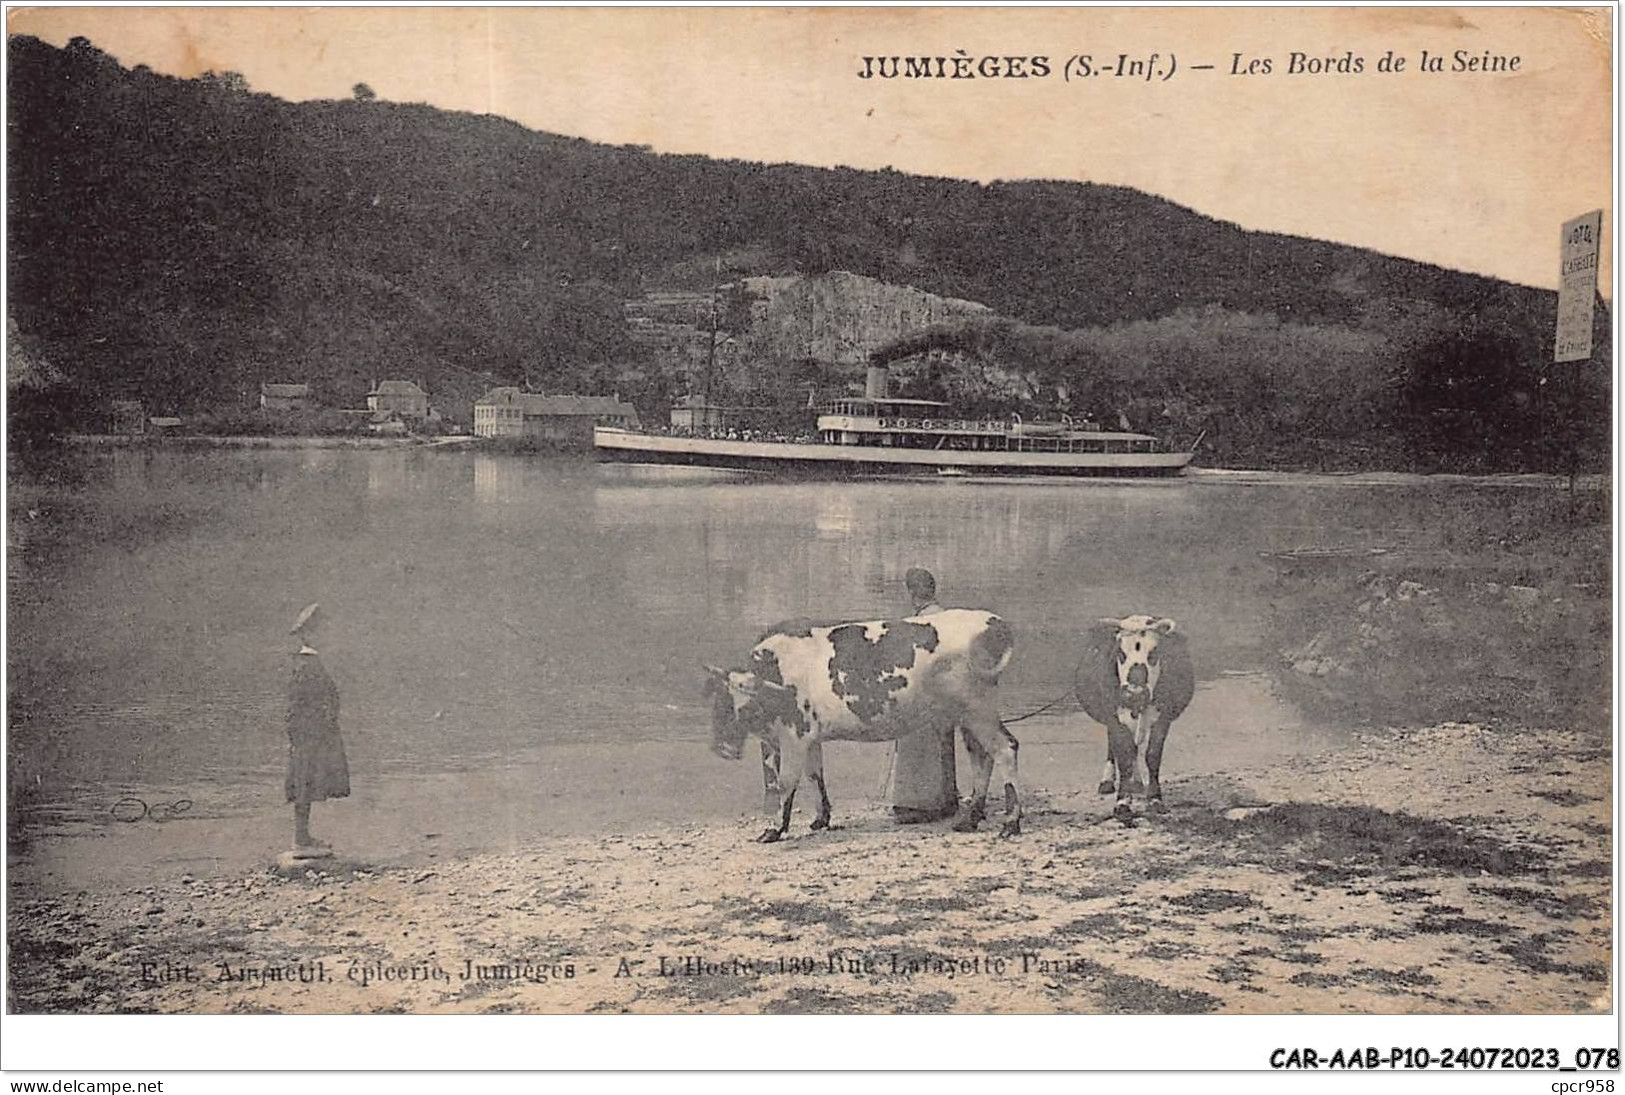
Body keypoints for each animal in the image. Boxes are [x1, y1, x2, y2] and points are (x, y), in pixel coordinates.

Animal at [698, 610, 1014, 838]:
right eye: (718, 702)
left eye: (745, 706)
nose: (724, 749)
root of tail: (992, 621)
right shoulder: (810, 738)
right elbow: (815, 776)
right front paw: (820, 819)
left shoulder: (794, 736)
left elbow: (785, 781)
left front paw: (775, 830)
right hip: (968, 717)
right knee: (982, 759)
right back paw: (970, 820)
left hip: (978, 711)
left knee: (1006, 749)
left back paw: (1011, 823)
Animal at [1079, 610, 1196, 815]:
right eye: (1120, 653)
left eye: (1154, 652)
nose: (1135, 693)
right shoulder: (1114, 716)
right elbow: (1124, 755)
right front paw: (1122, 802)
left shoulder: (1163, 718)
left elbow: (1152, 755)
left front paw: (1155, 799)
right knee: (1115, 746)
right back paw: (1109, 781)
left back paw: (1137, 782)